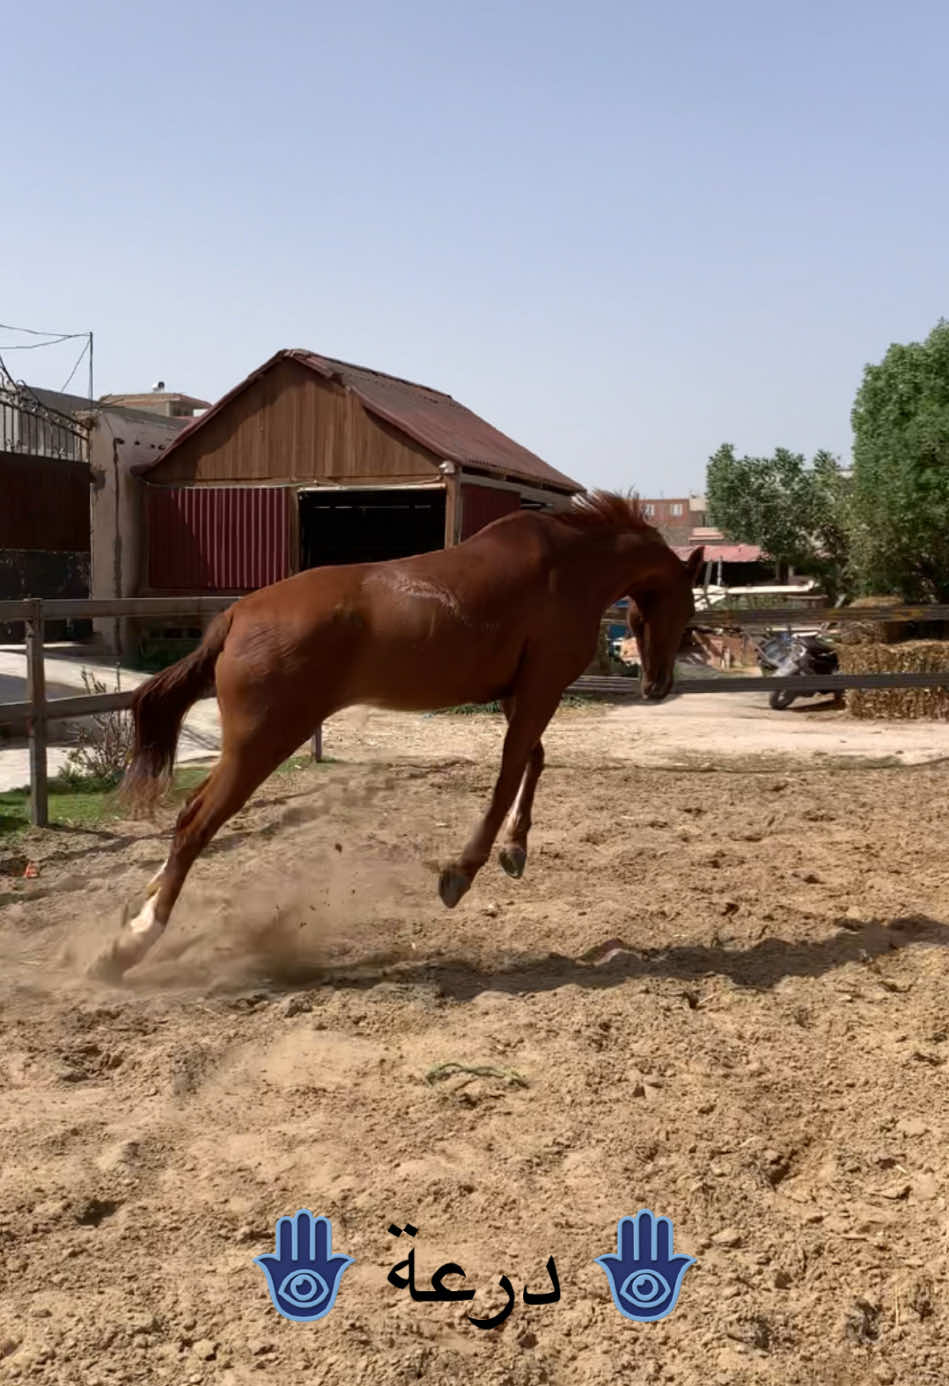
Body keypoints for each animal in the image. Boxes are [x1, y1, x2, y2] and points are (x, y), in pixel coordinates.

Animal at [92, 493, 698, 981]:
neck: (570, 565)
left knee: (187, 815)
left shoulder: (517, 693)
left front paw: (516, 850)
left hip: (250, 747)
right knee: (195, 824)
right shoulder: (540, 689)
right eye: (688, 611)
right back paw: (129, 946)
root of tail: (237, 616)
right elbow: (509, 772)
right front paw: (461, 874)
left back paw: (140, 907)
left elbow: (534, 760)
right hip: (262, 744)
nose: (657, 685)